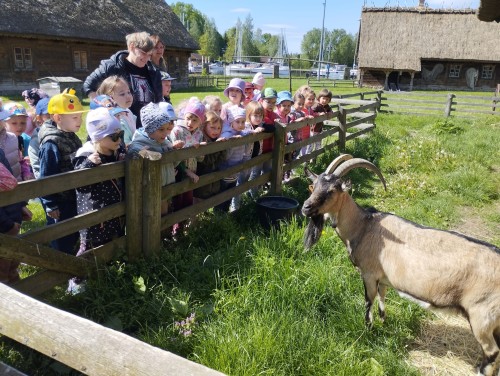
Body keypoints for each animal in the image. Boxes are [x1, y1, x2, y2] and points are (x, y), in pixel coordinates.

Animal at [300, 153, 500, 376]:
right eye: (312, 186)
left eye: (332, 190)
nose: (305, 208)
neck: (364, 226)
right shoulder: (383, 278)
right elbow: (382, 299)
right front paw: (384, 323)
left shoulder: (368, 273)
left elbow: (368, 302)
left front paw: (368, 330)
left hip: (482, 316)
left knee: (492, 351)